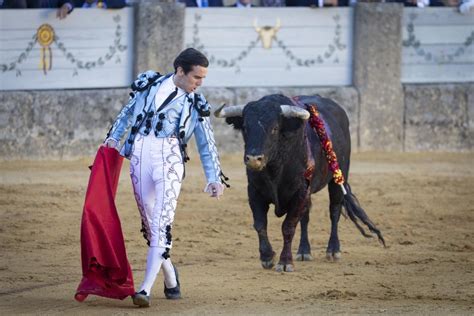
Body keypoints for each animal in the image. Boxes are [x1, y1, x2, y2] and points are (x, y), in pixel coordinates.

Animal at [215, 93, 386, 272]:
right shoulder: (255, 192)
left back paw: (333, 250)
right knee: (306, 217)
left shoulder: (300, 192)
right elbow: (261, 224)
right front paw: (267, 257)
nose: (254, 159)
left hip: (338, 178)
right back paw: (304, 251)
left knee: (334, 211)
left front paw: (285, 262)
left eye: (274, 128)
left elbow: (288, 226)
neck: (275, 168)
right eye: (245, 128)